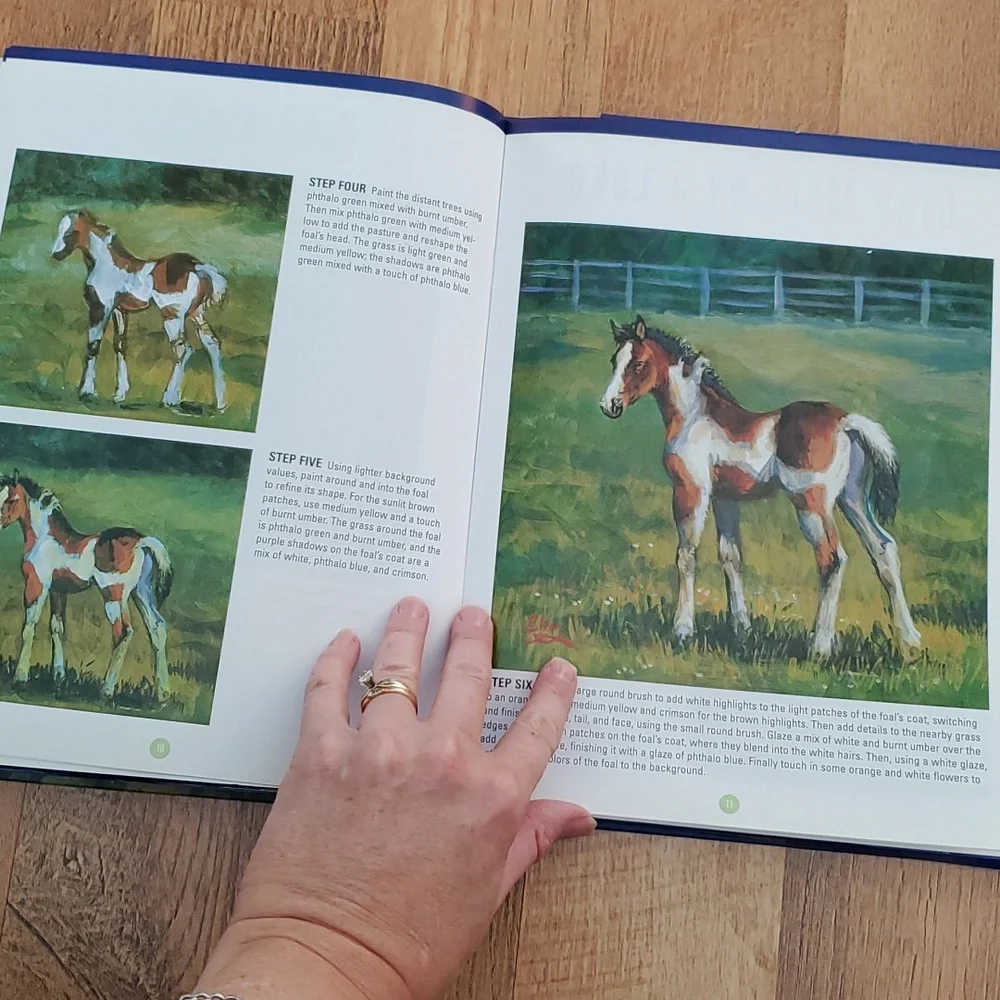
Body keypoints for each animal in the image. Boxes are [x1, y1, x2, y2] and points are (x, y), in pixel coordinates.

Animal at [0, 471, 174, 701]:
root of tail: (142, 541)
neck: (45, 538)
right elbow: (57, 628)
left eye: (12, 499)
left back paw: (106, 690)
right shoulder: (58, 590)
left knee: (123, 632)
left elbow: (29, 627)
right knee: (157, 627)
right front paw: (58, 680)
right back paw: (162, 695)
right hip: (142, 592)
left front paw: (20, 678)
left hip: (114, 595)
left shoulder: (37, 585)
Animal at [51, 210, 228, 412]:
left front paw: (86, 391)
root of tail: (197, 267)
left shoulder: (100, 308)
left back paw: (169, 400)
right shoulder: (119, 310)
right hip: (195, 313)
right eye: (59, 229)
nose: (56, 254)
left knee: (183, 349)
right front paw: (120, 394)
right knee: (212, 343)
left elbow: (93, 345)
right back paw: (220, 404)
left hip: (172, 316)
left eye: (71, 232)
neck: (106, 264)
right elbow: (120, 344)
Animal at [599, 315, 922, 659]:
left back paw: (819, 647)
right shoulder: (724, 498)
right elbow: (731, 556)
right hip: (853, 500)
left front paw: (682, 630)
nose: (609, 405)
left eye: (638, 363)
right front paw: (741, 628)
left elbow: (686, 555)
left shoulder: (691, 491)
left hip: (812, 505)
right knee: (883, 549)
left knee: (832, 559)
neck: (694, 416)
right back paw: (909, 639)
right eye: (614, 361)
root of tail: (846, 421)